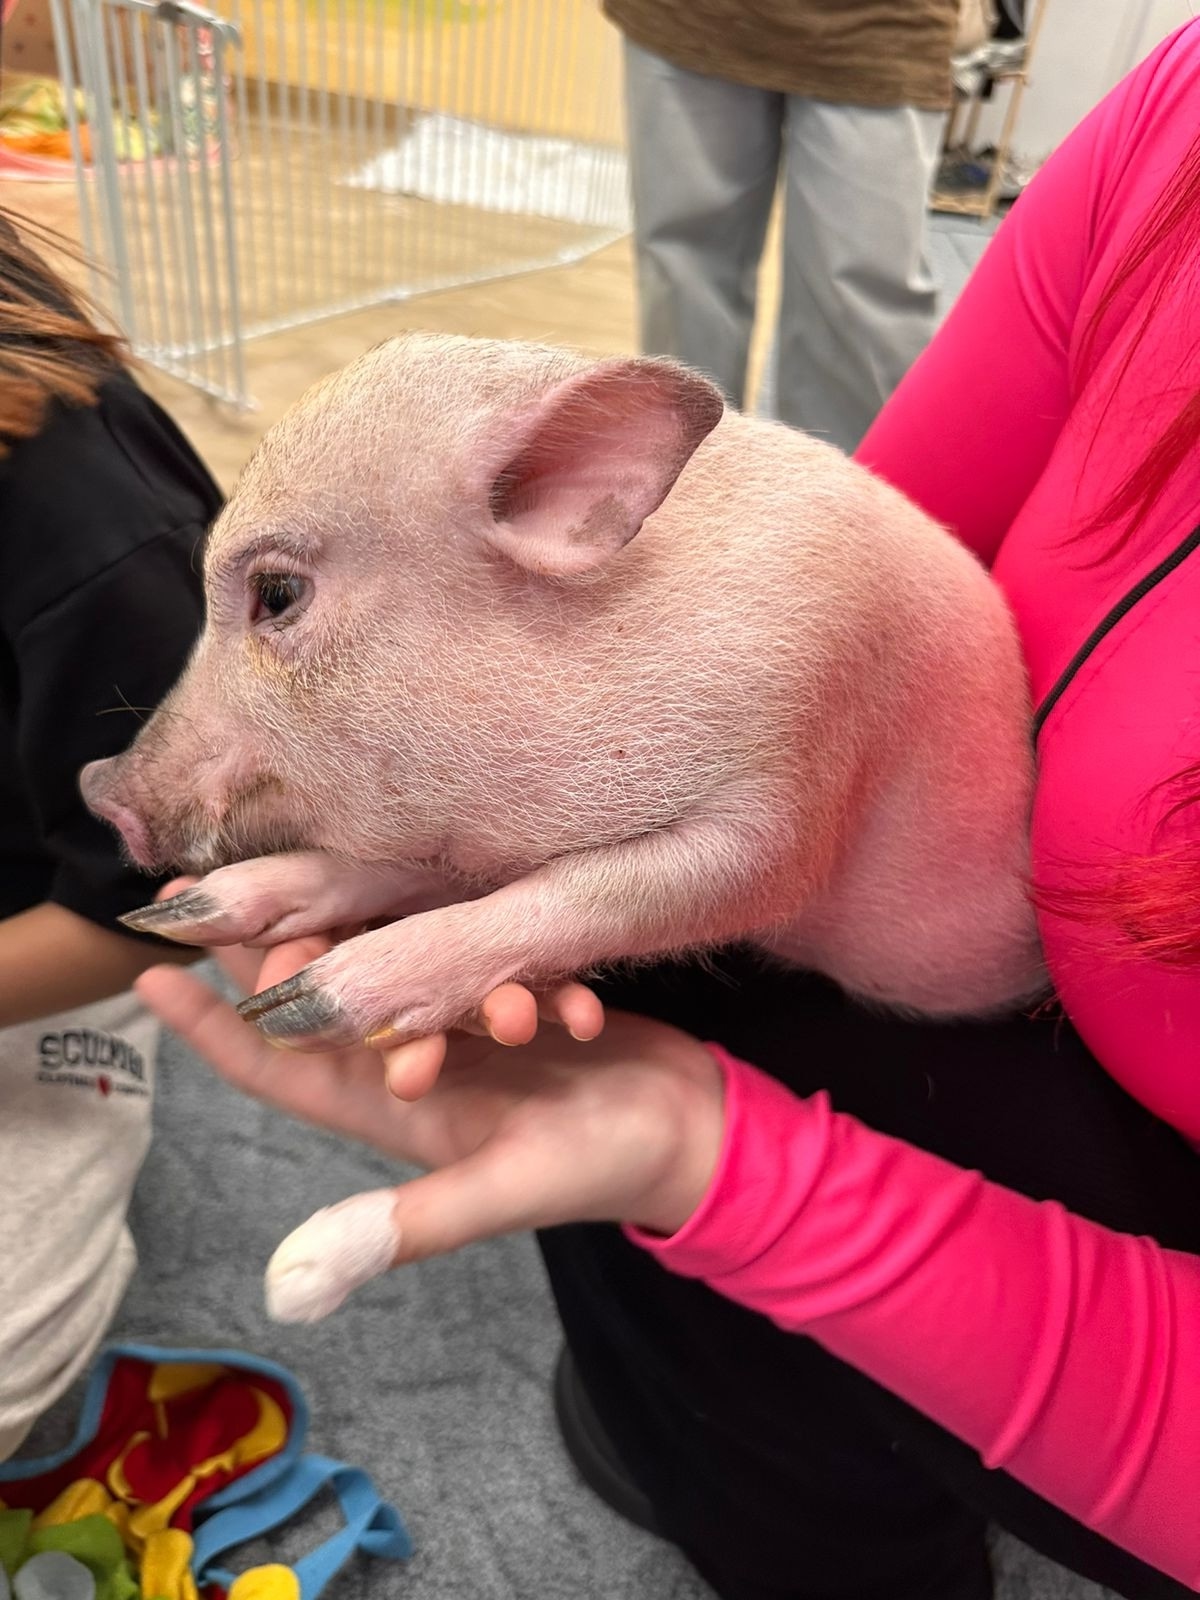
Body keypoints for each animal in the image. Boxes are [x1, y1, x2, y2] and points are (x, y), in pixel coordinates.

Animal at [81, 333, 1046, 1058]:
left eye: (277, 594)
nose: (98, 788)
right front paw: (182, 919)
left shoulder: (800, 774)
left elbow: (606, 892)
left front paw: (288, 1014)